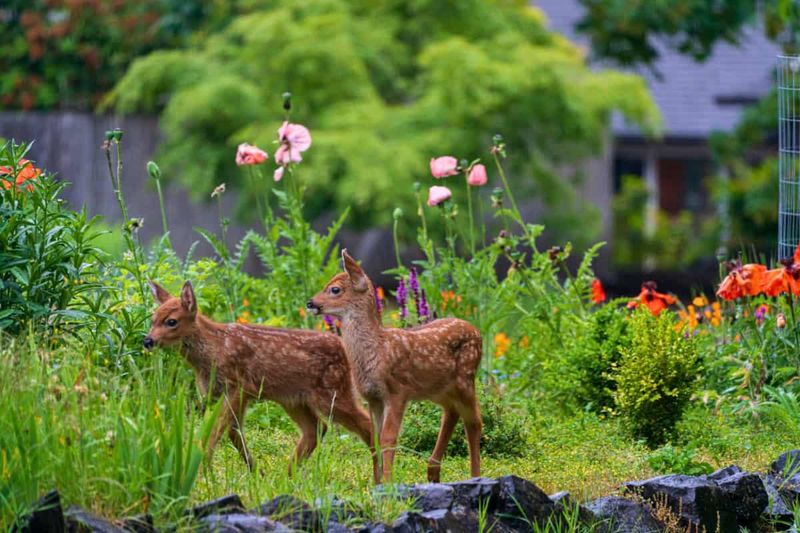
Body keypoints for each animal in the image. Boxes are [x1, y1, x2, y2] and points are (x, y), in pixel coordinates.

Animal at [143, 280, 379, 482]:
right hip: (294, 399)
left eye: (171, 321)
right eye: (152, 320)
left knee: (366, 423)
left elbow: (217, 430)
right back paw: (286, 477)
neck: (213, 350)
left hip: (332, 392)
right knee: (317, 429)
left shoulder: (239, 386)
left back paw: (378, 475)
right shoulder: (222, 394)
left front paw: (202, 470)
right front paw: (256, 473)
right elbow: (233, 433)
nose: (148, 340)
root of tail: (343, 347)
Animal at [307, 250, 483, 483]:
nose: (310, 303)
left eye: (335, 289)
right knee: (452, 413)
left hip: (466, 378)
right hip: (439, 389)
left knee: (474, 421)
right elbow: (375, 438)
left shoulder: (397, 391)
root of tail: (478, 332)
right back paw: (433, 472)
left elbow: (389, 438)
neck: (378, 350)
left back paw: (475, 475)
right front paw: (376, 482)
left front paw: (389, 482)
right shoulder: (372, 397)